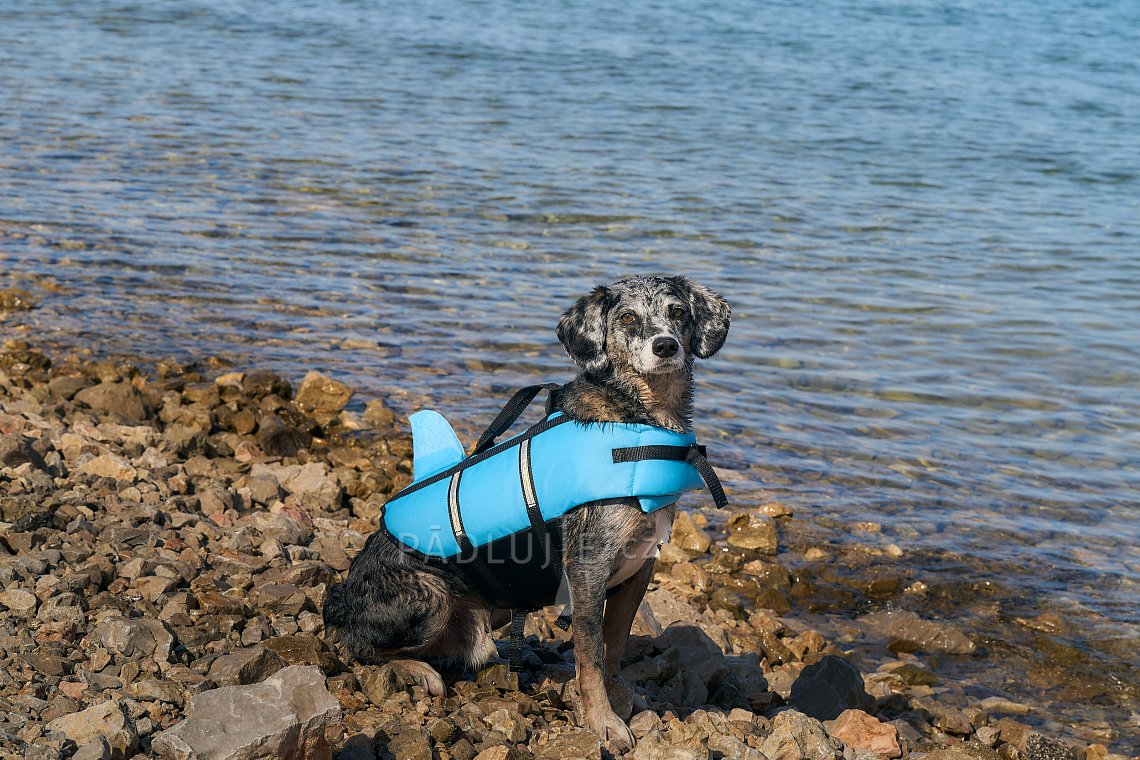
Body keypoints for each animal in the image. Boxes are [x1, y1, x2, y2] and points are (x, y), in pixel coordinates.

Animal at [321, 273, 729, 747]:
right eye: (627, 318)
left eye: (677, 312)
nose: (665, 346)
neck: (639, 417)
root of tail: (340, 601)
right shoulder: (588, 569)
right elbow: (591, 659)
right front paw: (604, 722)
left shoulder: (639, 569)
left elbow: (614, 651)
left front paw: (622, 697)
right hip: (430, 594)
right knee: (363, 649)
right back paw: (418, 671)